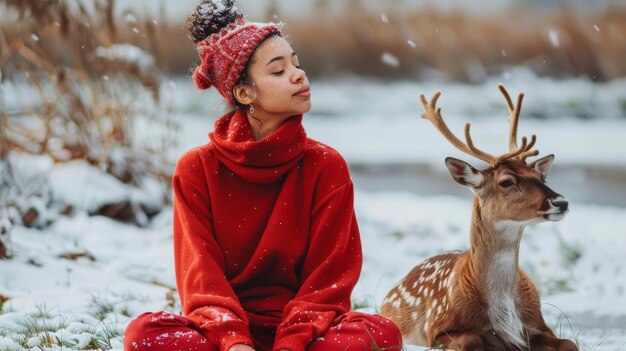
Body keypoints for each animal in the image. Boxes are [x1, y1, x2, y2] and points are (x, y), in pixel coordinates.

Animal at [380, 85, 580, 351]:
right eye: (506, 182)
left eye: (541, 177)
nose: (561, 202)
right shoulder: (436, 329)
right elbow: (471, 338)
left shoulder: (537, 323)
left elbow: (570, 342)